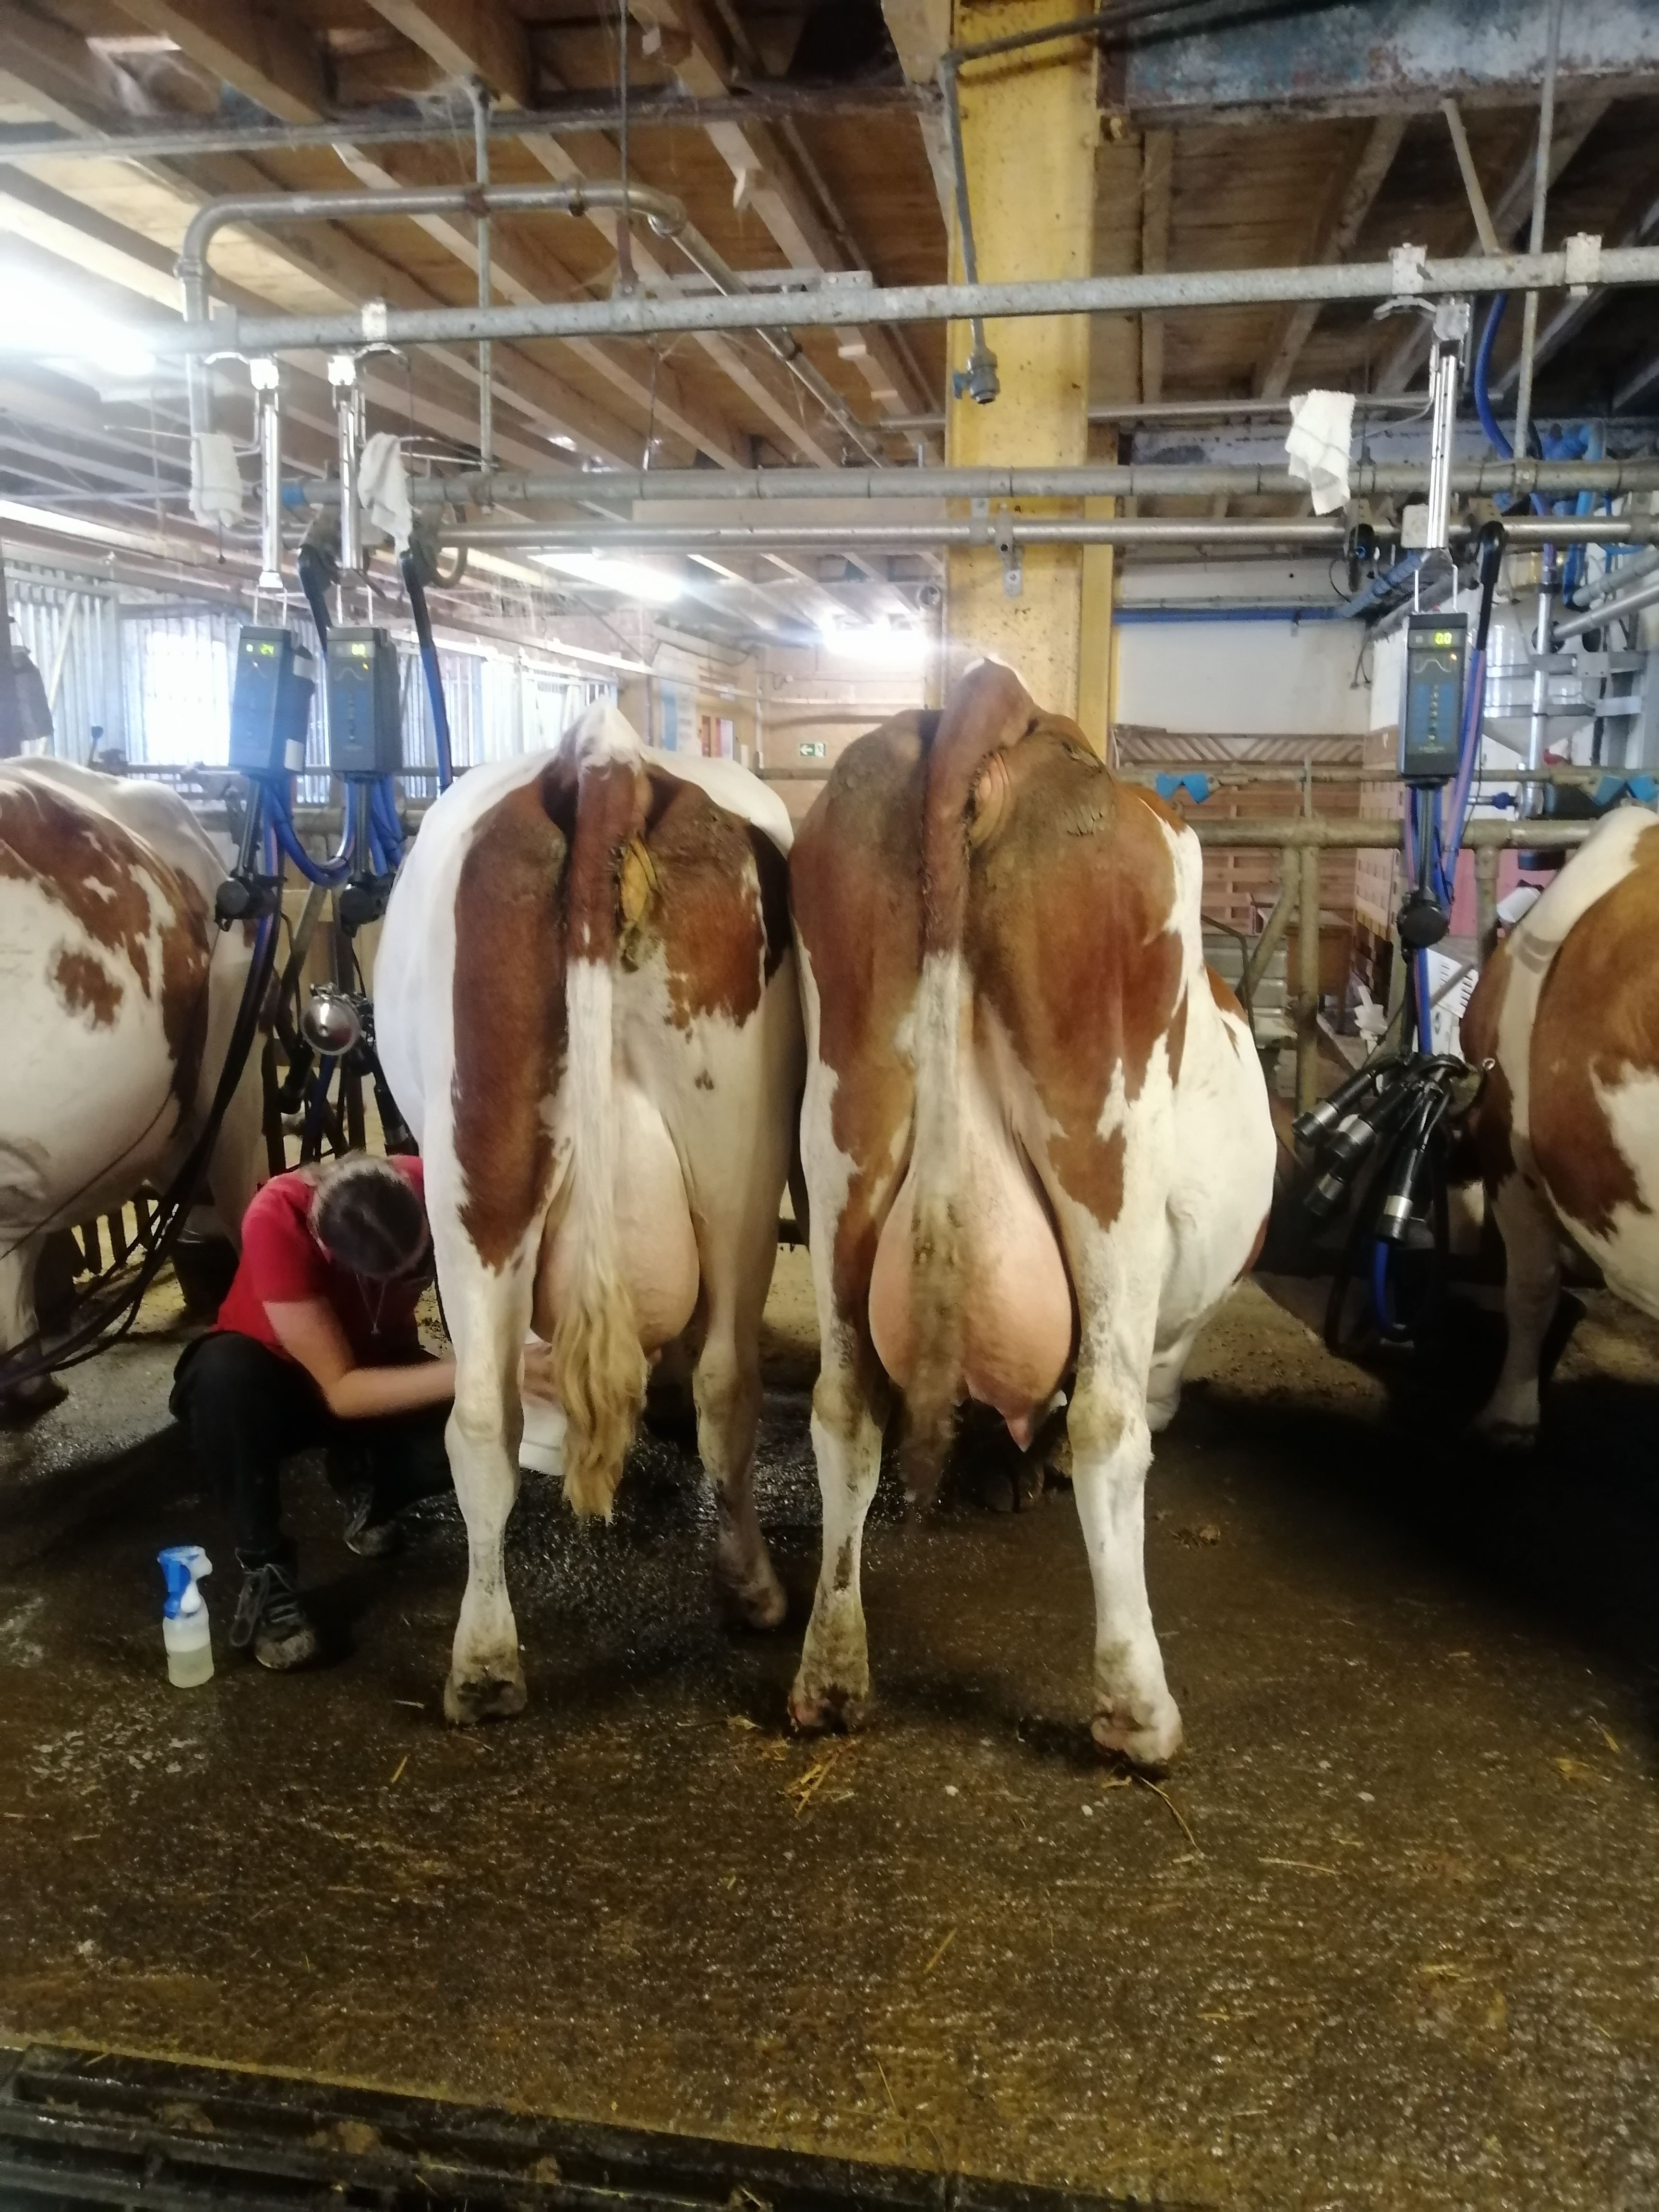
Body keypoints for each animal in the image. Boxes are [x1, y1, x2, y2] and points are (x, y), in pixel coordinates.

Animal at [786, 662, 1277, 1770]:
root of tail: (998, 705)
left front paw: (999, 1469)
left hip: (842, 1144)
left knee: (845, 1406)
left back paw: (831, 1676)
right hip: (1110, 1168)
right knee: (1107, 1420)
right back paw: (1137, 1709)